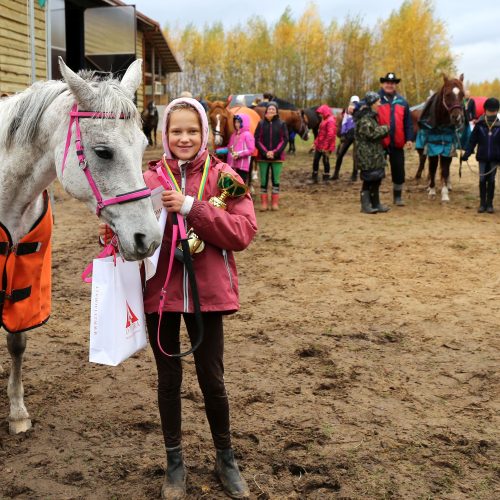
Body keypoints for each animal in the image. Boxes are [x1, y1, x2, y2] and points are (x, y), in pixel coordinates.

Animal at [0, 57, 160, 434]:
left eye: (143, 145)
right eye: (103, 152)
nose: (149, 238)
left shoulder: (23, 281)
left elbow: (16, 341)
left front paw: (17, 412)